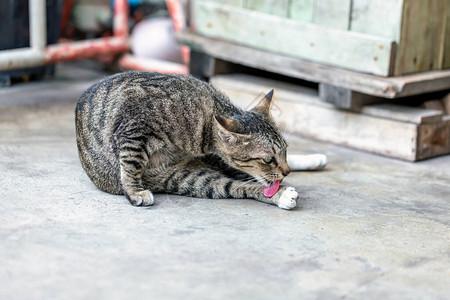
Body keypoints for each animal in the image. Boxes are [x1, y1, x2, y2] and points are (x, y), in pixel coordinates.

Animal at [74, 71, 298, 210]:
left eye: (286, 150)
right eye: (267, 159)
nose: (287, 171)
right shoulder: (133, 128)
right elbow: (131, 165)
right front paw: (135, 192)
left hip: (193, 179)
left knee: (235, 185)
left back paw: (282, 192)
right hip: (183, 179)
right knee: (235, 186)